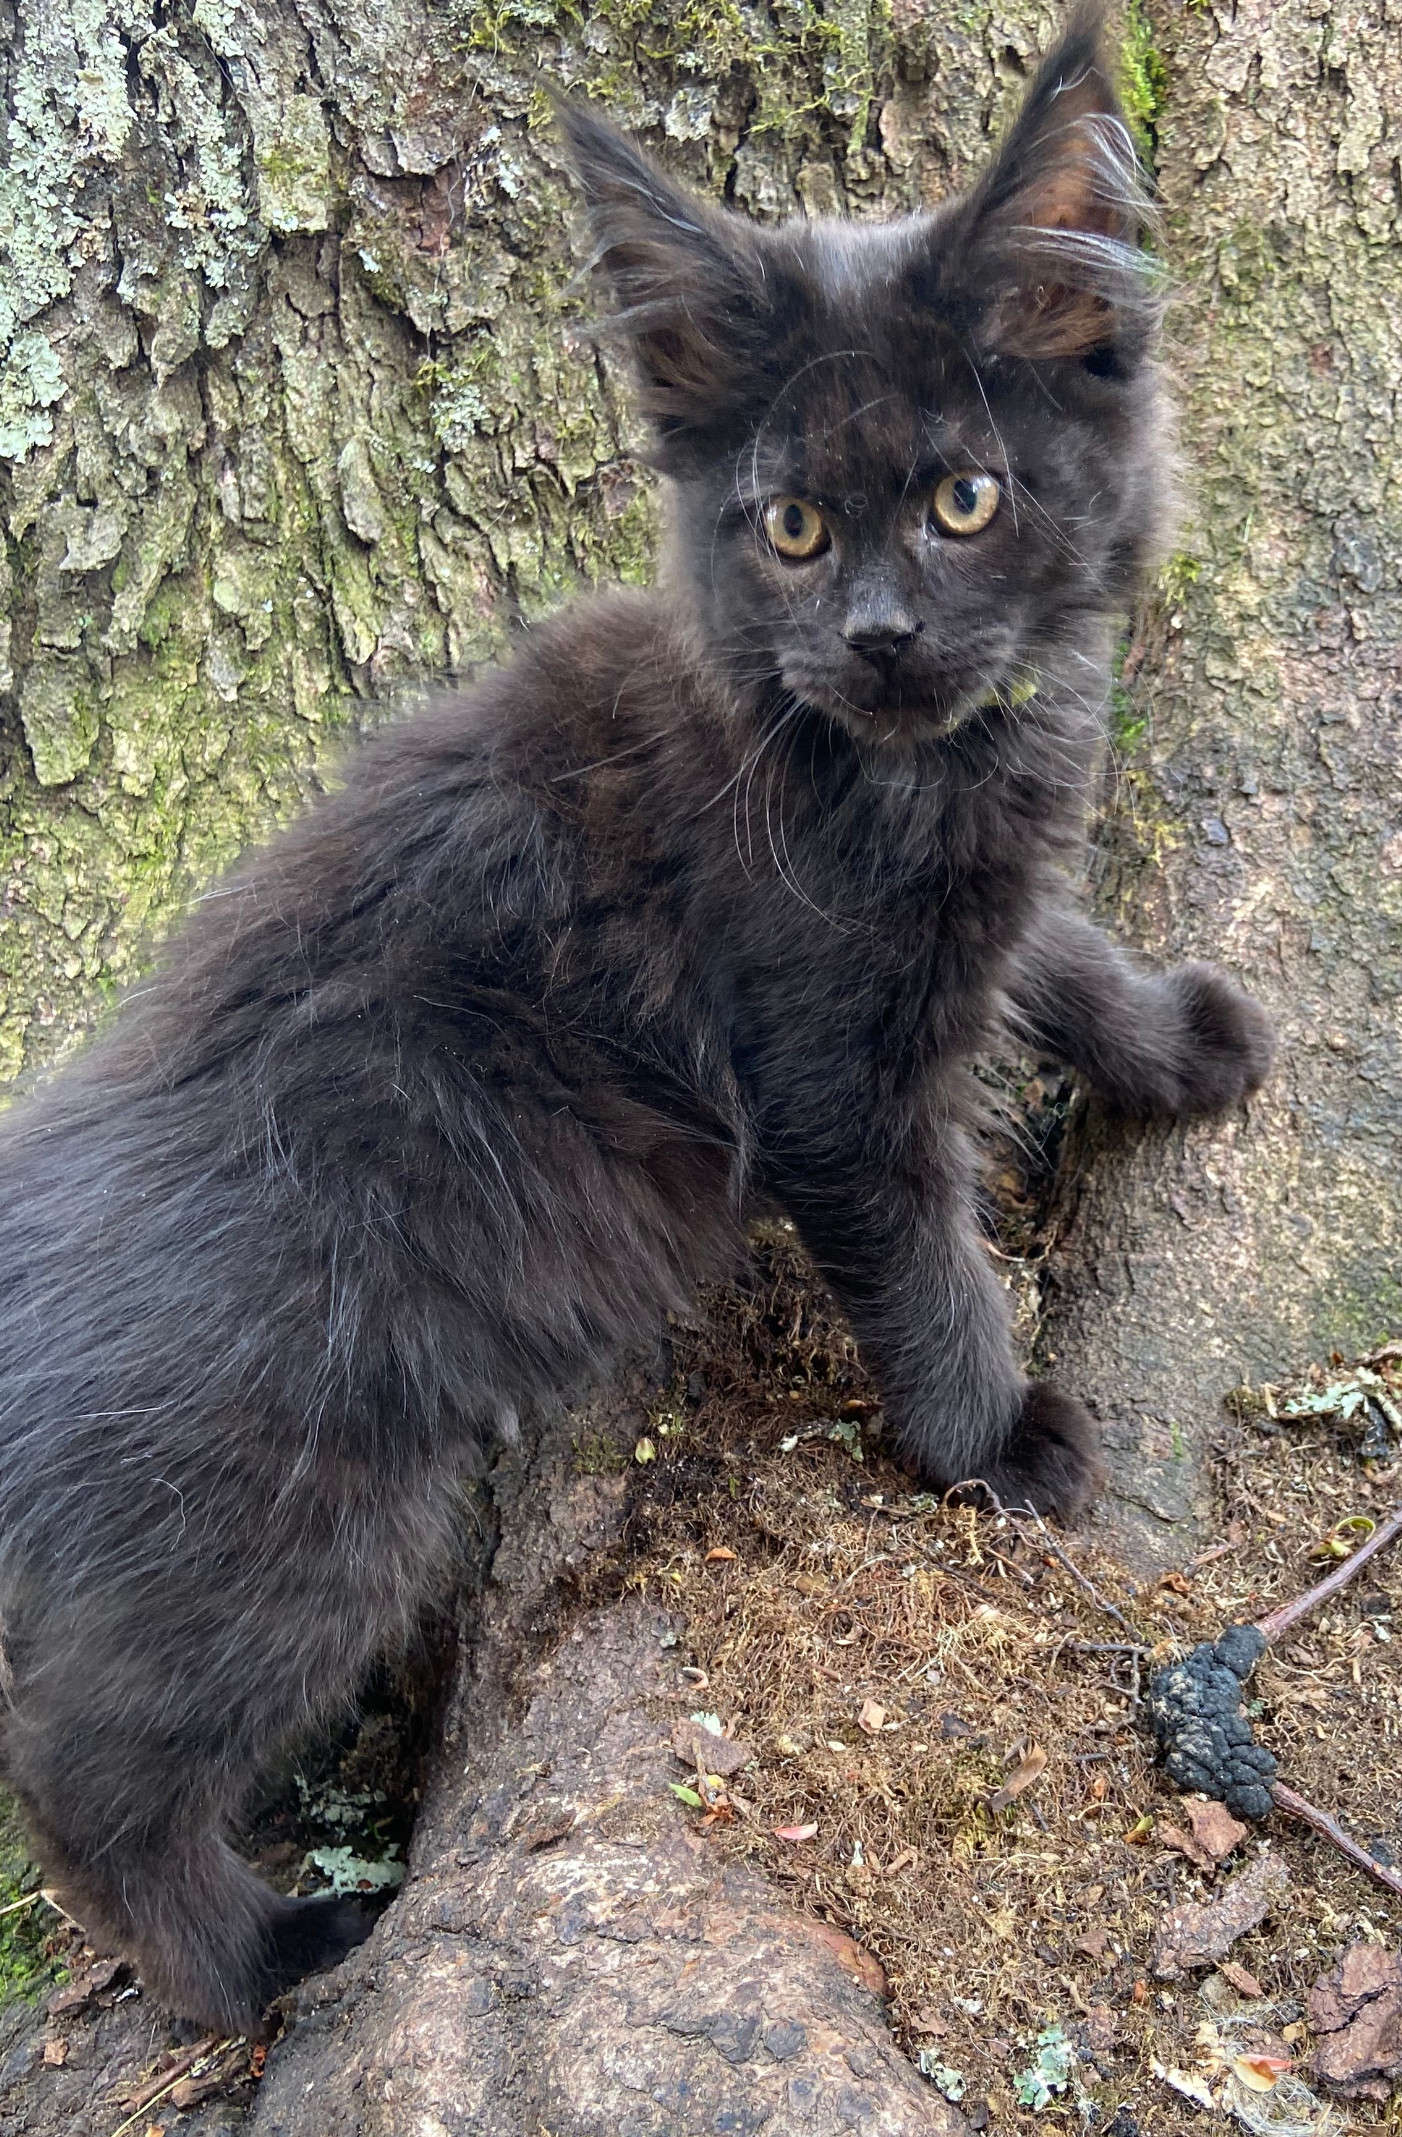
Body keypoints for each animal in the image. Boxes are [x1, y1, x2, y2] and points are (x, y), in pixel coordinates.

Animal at [0, 2, 1272, 2039]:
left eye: (966, 498)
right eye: (795, 526)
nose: (882, 636)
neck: (900, 770)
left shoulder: (965, 909)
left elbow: (1055, 951)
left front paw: (1179, 1038)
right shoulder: (828, 1067)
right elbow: (921, 1256)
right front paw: (995, 1444)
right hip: (286, 1514)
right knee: (95, 1779)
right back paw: (259, 1953)